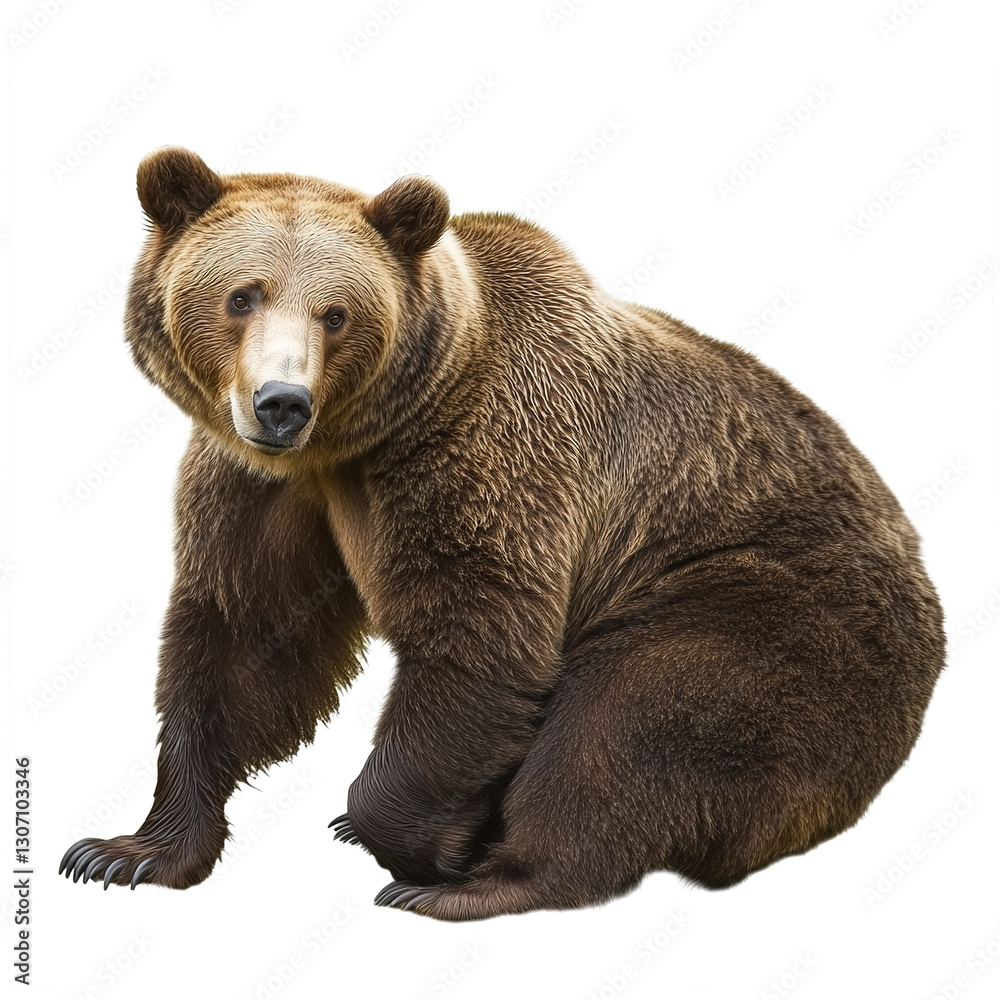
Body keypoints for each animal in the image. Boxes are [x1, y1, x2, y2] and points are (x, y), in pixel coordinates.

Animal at [60, 146, 946, 920]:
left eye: (335, 312)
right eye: (242, 295)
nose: (281, 402)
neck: (357, 441)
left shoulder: (493, 456)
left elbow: (479, 640)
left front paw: (424, 845)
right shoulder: (265, 490)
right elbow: (246, 639)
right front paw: (125, 852)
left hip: (769, 606)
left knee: (631, 721)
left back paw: (484, 882)